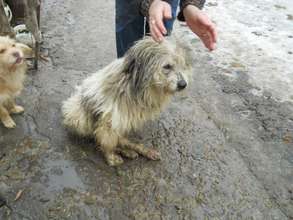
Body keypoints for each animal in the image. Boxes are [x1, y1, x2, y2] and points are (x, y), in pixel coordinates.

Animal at [61, 36, 192, 166]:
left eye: (183, 65)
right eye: (167, 66)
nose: (183, 84)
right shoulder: (110, 118)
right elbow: (107, 141)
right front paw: (110, 156)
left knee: (121, 139)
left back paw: (139, 150)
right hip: (76, 114)